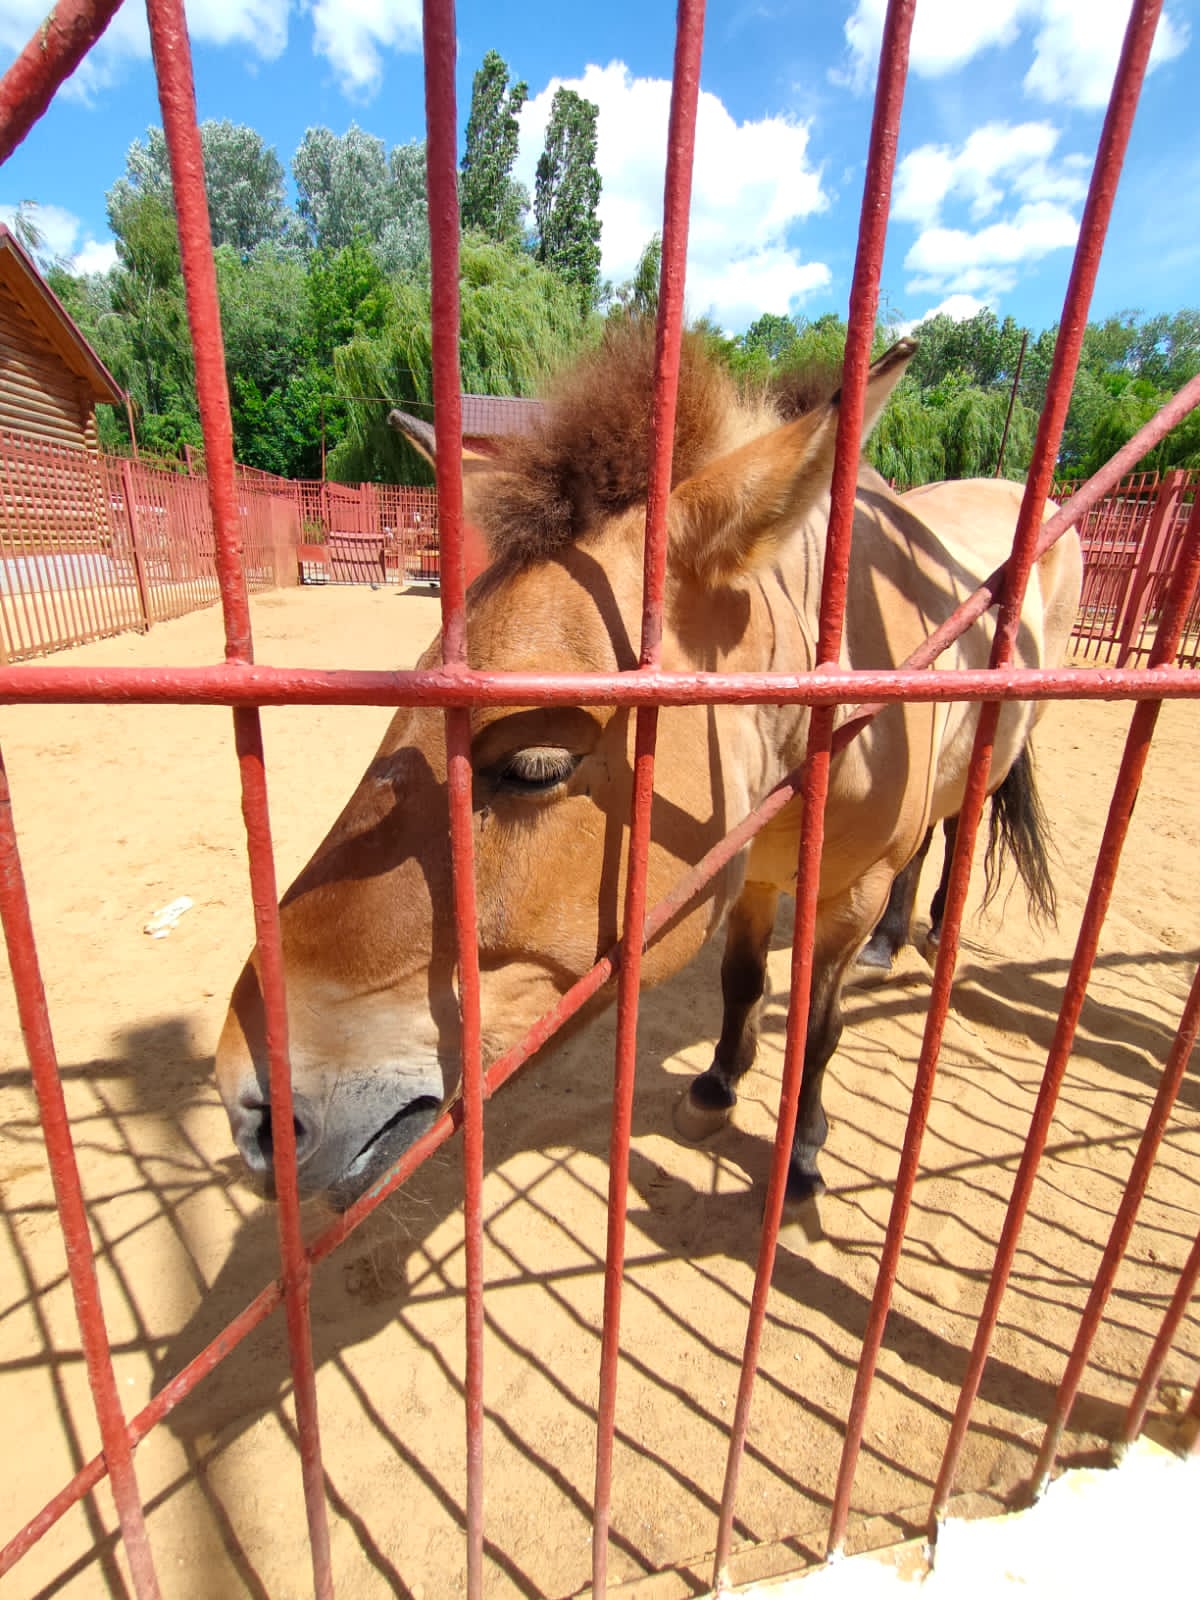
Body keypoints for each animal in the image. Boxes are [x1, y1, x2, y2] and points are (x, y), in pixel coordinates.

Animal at [214, 324, 1083, 1209]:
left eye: (535, 765)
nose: (255, 1110)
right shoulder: (747, 871)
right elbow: (742, 980)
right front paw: (717, 1087)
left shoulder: (847, 898)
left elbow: (819, 1028)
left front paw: (801, 1153)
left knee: (951, 830)